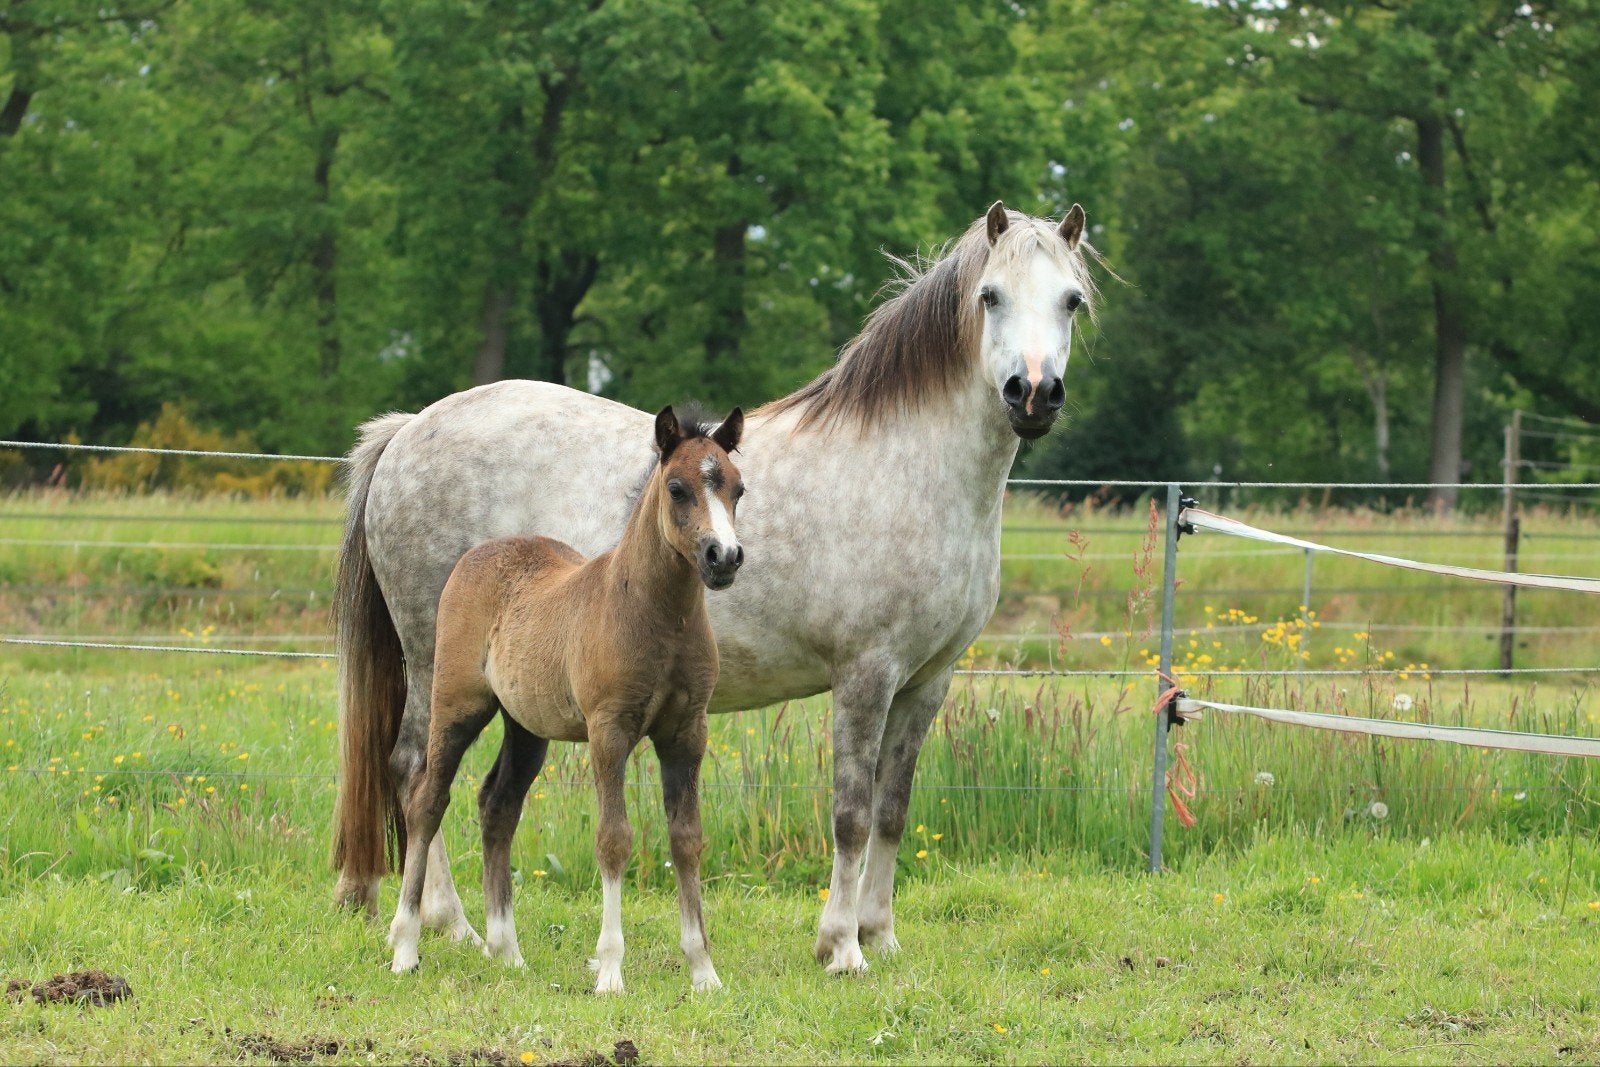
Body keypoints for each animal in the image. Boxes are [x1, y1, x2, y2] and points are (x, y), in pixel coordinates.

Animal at [387, 406, 745, 994]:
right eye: (677, 488)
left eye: (739, 489)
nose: (725, 558)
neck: (655, 614)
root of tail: (476, 555)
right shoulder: (609, 730)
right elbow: (614, 840)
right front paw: (611, 972)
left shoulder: (687, 732)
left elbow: (687, 839)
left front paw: (704, 971)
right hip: (456, 705)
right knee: (427, 800)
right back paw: (405, 946)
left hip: (526, 727)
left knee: (498, 806)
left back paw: (507, 952)